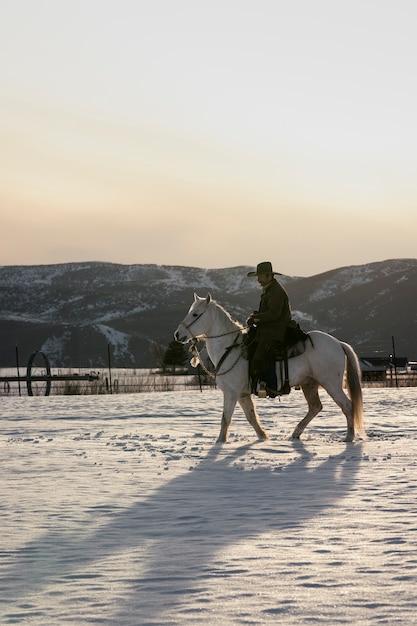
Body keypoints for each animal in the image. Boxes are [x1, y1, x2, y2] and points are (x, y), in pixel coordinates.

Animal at [174, 294, 366, 442]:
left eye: (195, 314)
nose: (177, 334)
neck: (229, 348)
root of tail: (338, 343)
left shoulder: (231, 393)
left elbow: (225, 419)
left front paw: (219, 443)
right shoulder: (242, 394)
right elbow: (251, 417)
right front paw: (263, 437)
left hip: (331, 383)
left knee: (347, 406)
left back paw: (349, 438)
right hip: (309, 384)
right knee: (315, 407)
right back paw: (296, 433)